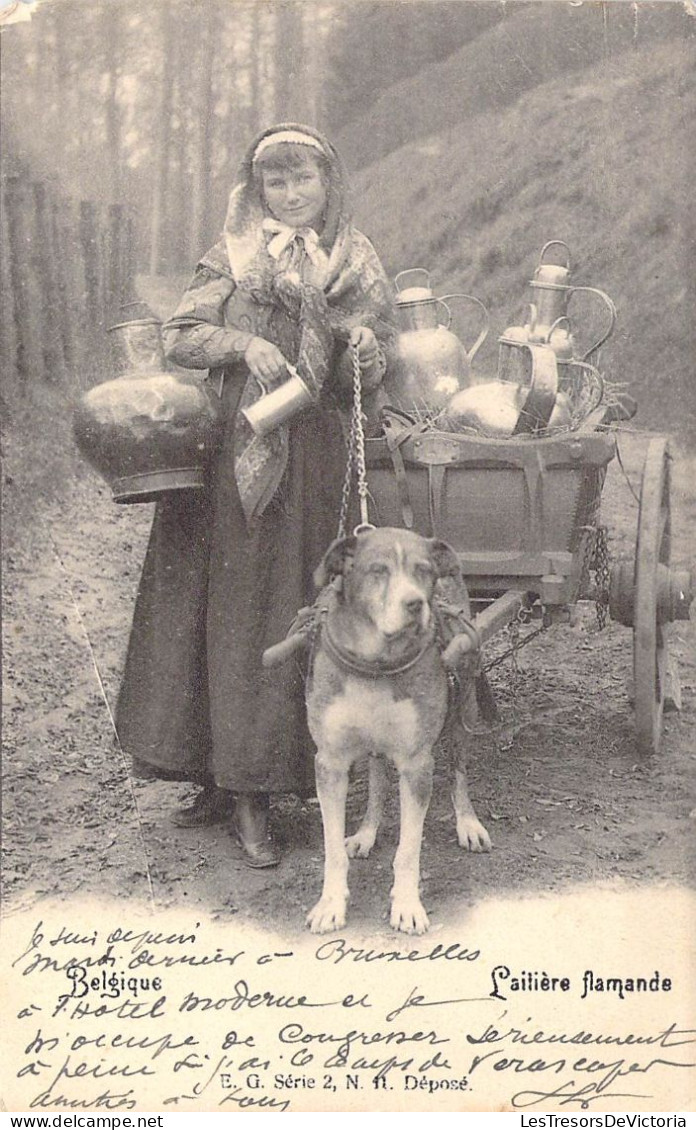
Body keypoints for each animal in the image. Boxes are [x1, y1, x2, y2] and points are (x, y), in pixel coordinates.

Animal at [305, 528, 490, 935]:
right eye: (378, 570)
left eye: (423, 570)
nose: (415, 604)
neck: (376, 663)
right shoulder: (330, 763)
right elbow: (332, 849)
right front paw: (330, 905)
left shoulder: (417, 764)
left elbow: (408, 850)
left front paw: (406, 906)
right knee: (377, 779)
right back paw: (367, 832)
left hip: (464, 705)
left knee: (458, 773)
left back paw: (468, 822)